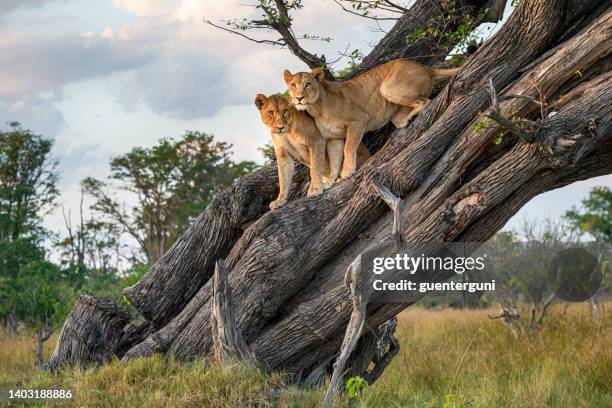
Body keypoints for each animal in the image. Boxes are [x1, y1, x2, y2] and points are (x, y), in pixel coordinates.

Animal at [284, 58, 462, 178]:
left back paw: (409, 118)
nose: (299, 98)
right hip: (393, 107)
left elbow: (349, 148)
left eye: (308, 84)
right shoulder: (333, 137)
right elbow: (335, 158)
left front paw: (348, 172)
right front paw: (335, 178)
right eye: (293, 85)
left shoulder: (358, 120)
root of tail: (426, 67)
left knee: (425, 101)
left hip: (387, 88)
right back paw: (406, 120)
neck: (316, 108)